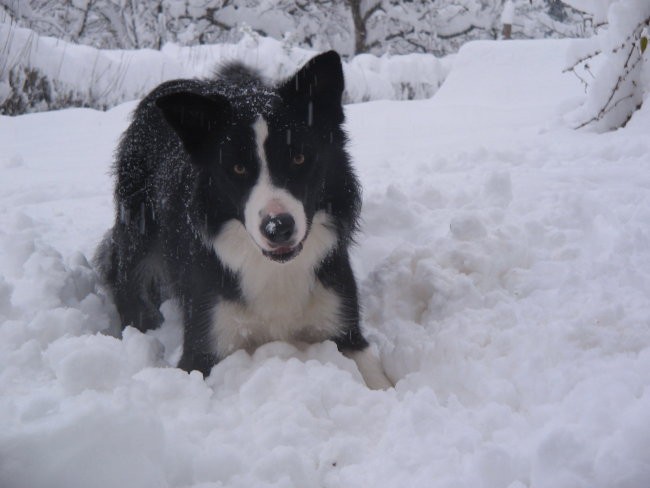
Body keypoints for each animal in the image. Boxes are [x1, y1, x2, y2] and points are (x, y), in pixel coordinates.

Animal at [95, 50, 390, 388]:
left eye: (299, 158)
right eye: (237, 168)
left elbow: (379, 381)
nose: (278, 228)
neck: (275, 269)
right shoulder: (204, 345)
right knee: (127, 277)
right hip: (137, 225)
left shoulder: (345, 326)